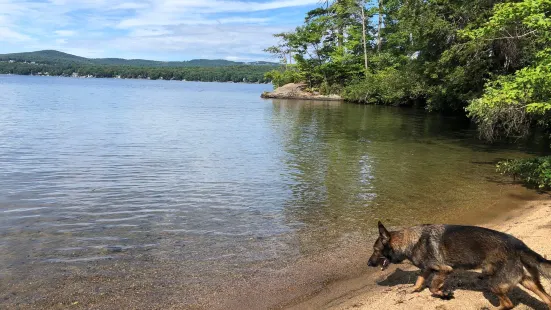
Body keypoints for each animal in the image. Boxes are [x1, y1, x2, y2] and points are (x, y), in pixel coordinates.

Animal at [368, 222, 551, 308]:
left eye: (375, 250)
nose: (368, 263)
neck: (411, 241)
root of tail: (518, 245)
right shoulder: (426, 269)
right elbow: (420, 280)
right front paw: (413, 290)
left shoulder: (444, 270)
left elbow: (433, 287)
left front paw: (444, 294)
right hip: (526, 281)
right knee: (546, 298)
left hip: (495, 284)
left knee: (508, 304)